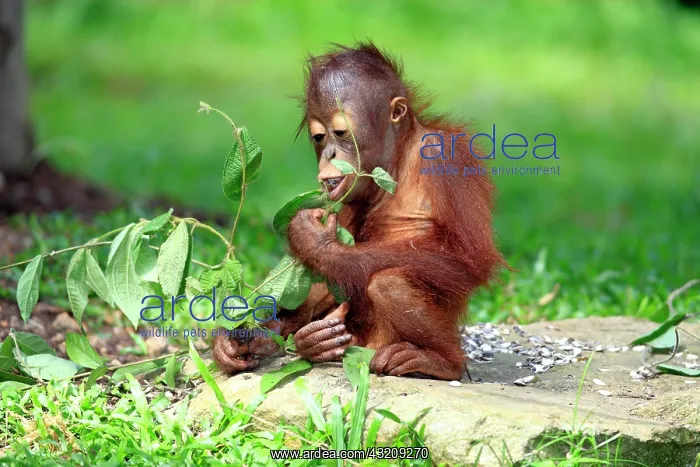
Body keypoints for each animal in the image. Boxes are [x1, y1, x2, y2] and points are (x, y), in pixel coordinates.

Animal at [213, 41, 504, 380]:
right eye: (319, 136)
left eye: (340, 133)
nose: (329, 153)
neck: (398, 159)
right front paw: (236, 337)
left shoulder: (447, 158)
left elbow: (467, 259)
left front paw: (315, 242)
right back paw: (301, 341)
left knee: (387, 282)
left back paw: (439, 361)